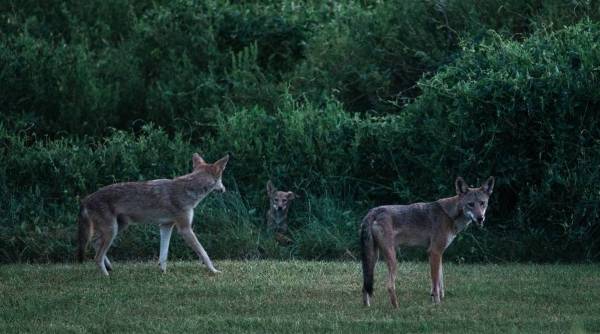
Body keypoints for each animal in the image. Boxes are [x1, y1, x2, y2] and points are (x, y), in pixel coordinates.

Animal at [77, 153, 230, 276]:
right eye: (221, 179)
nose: (224, 189)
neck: (188, 189)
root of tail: (85, 199)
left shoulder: (165, 226)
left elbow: (164, 255)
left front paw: (162, 271)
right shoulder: (185, 229)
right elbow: (204, 253)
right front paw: (214, 271)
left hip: (118, 228)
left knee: (95, 244)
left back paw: (109, 267)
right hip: (112, 231)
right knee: (97, 256)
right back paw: (106, 276)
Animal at [360, 176, 492, 306]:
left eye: (482, 203)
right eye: (470, 204)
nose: (480, 218)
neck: (449, 215)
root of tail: (373, 212)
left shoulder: (438, 254)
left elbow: (440, 282)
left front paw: (438, 299)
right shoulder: (434, 252)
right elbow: (435, 284)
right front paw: (437, 304)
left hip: (373, 258)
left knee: (365, 286)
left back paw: (367, 307)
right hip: (392, 259)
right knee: (389, 286)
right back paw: (396, 308)